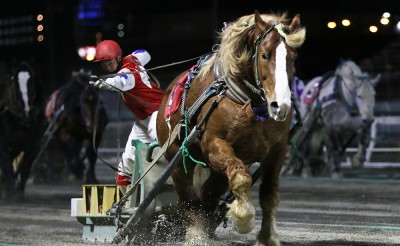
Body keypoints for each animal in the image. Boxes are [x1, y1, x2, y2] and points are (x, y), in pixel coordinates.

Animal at [0, 61, 45, 200]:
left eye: (32, 81)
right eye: (14, 81)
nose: (26, 109)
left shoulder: (34, 145)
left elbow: (25, 168)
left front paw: (19, 192)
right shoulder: (3, 145)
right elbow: (7, 166)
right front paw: (10, 193)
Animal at [156, 11, 306, 246]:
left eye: (292, 57)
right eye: (265, 55)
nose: (280, 106)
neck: (250, 102)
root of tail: (169, 93)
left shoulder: (277, 150)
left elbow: (269, 194)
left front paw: (267, 237)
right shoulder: (214, 143)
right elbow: (241, 178)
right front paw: (244, 218)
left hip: (217, 170)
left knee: (207, 196)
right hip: (179, 159)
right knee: (188, 197)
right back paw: (195, 234)